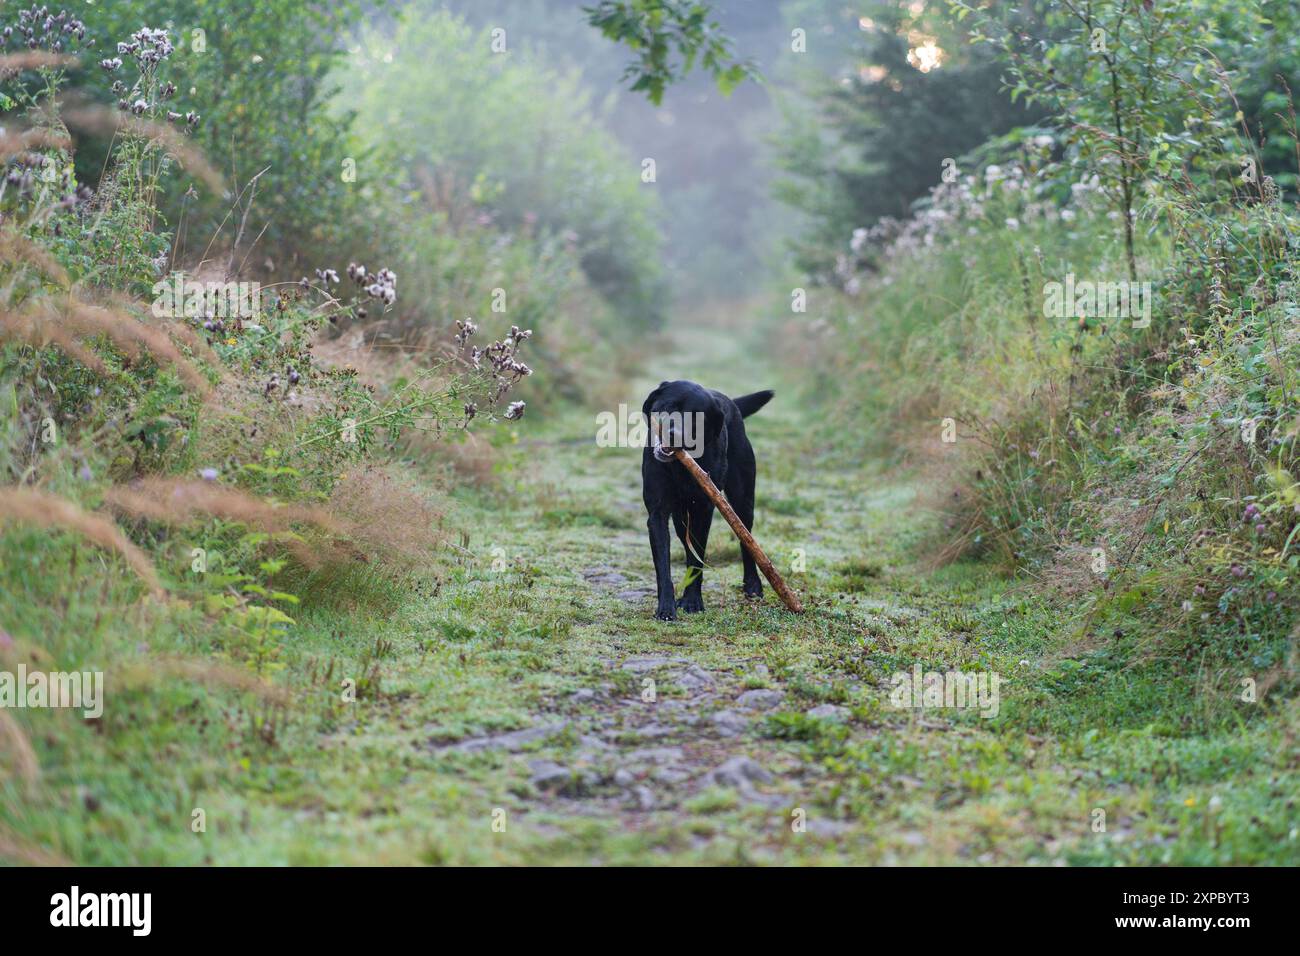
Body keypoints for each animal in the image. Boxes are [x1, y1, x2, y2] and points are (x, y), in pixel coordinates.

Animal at [639, 377, 769, 624]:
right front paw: (667, 607)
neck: (679, 467)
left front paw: (692, 601)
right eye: (668, 405)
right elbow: (664, 566)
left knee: (746, 540)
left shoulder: (703, 510)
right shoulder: (657, 513)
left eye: (696, 418)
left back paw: (753, 585)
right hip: (681, 519)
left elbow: (697, 560)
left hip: (742, 500)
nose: (673, 433)